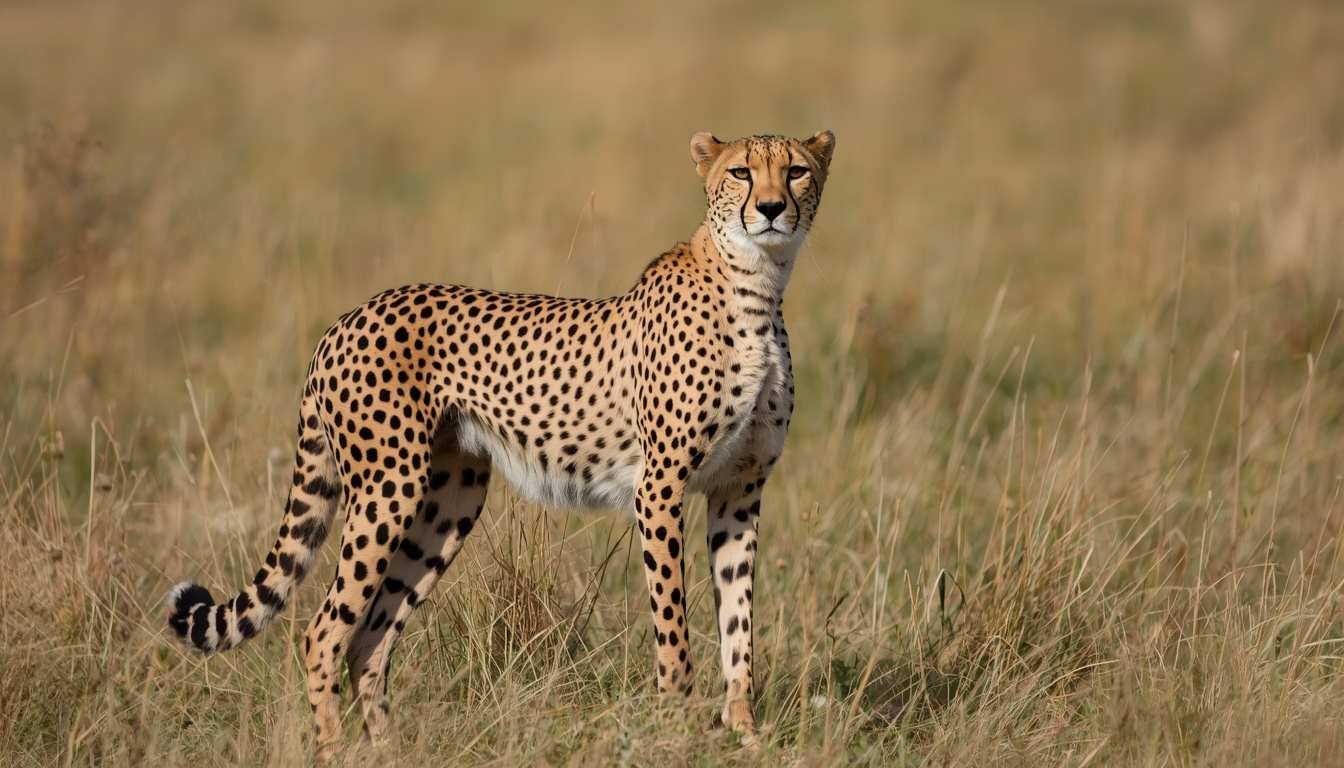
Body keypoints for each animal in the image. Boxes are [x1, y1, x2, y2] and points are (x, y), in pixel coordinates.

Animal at [166, 129, 835, 758]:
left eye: (796, 171)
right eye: (741, 172)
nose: (771, 208)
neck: (756, 287)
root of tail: (347, 317)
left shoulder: (738, 491)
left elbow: (738, 622)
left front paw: (744, 732)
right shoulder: (660, 488)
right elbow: (674, 623)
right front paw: (678, 728)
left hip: (449, 502)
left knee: (371, 638)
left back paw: (389, 751)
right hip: (389, 488)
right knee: (324, 632)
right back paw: (335, 752)